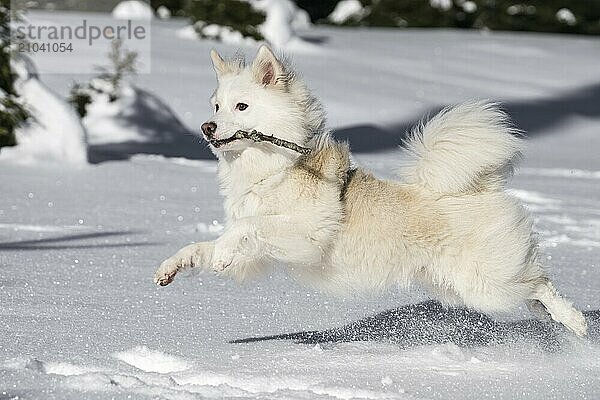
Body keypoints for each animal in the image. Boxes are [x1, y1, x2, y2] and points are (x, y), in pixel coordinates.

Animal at [154, 45, 584, 336]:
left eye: (241, 107)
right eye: (215, 106)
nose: (207, 127)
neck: (272, 168)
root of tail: (483, 188)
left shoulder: (306, 237)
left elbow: (247, 228)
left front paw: (224, 253)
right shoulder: (261, 257)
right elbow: (206, 246)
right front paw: (174, 266)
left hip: (485, 285)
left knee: (539, 283)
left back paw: (575, 322)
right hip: (461, 286)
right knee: (532, 290)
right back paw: (558, 322)